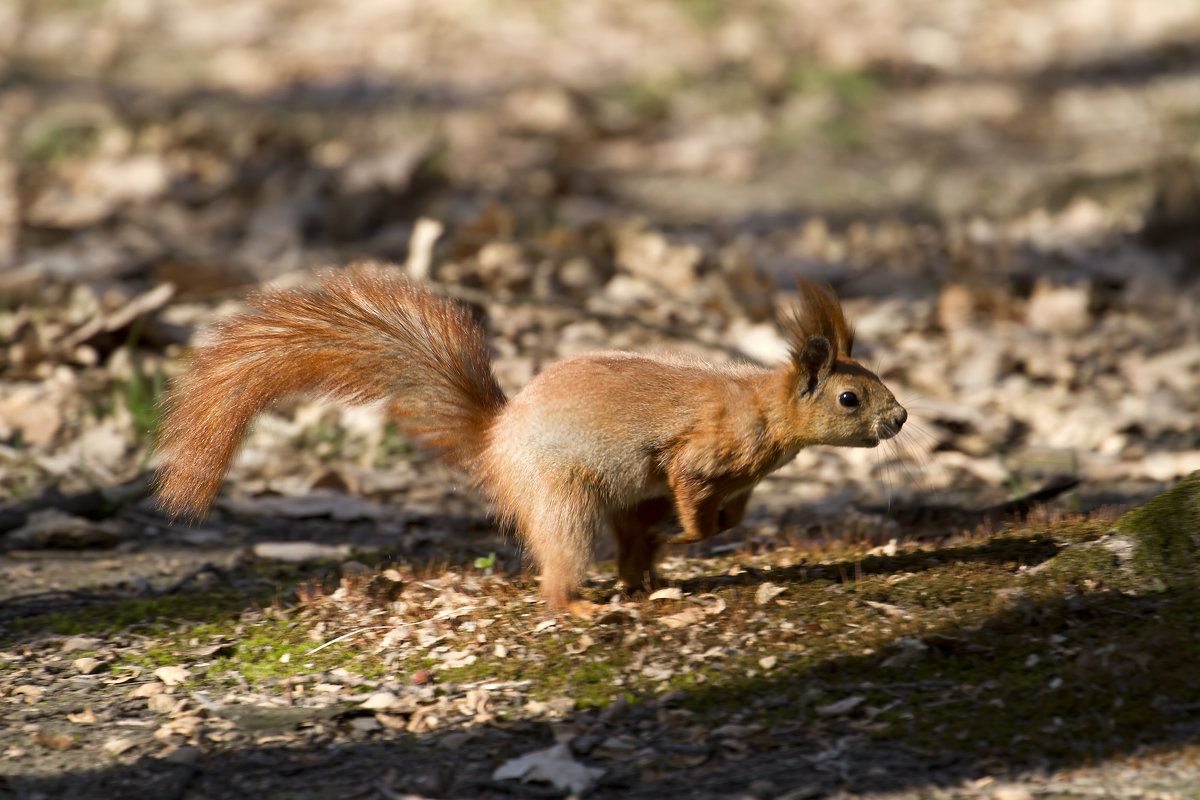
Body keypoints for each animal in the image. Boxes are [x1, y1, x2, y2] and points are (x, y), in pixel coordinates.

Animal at [157, 262, 907, 606]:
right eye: (850, 397)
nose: (900, 419)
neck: (766, 414)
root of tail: (496, 438)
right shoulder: (702, 452)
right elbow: (691, 490)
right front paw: (696, 532)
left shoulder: (741, 478)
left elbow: (733, 512)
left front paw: (715, 530)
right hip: (563, 497)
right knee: (563, 568)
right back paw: (585, 607)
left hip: (616, 506)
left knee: (632, 552)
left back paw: (647, 584)